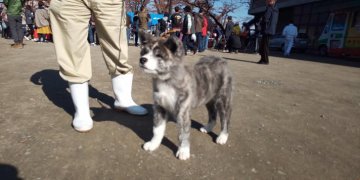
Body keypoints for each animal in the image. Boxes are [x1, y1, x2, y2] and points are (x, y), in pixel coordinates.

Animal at [138, 31, 233, 160]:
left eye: (158, 55)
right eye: (144, 52)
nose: (142, 59)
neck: (167, 80)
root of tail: (221, 60)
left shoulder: (183, 112)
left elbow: (183, 133)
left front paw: (183, 151)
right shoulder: (159, 108)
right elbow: (157, 129)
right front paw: (154, 144)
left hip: (223, 99)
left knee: (225, 119)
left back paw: (223, 136)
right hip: (208, 99)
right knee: (212, 113)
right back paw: (208, 127)